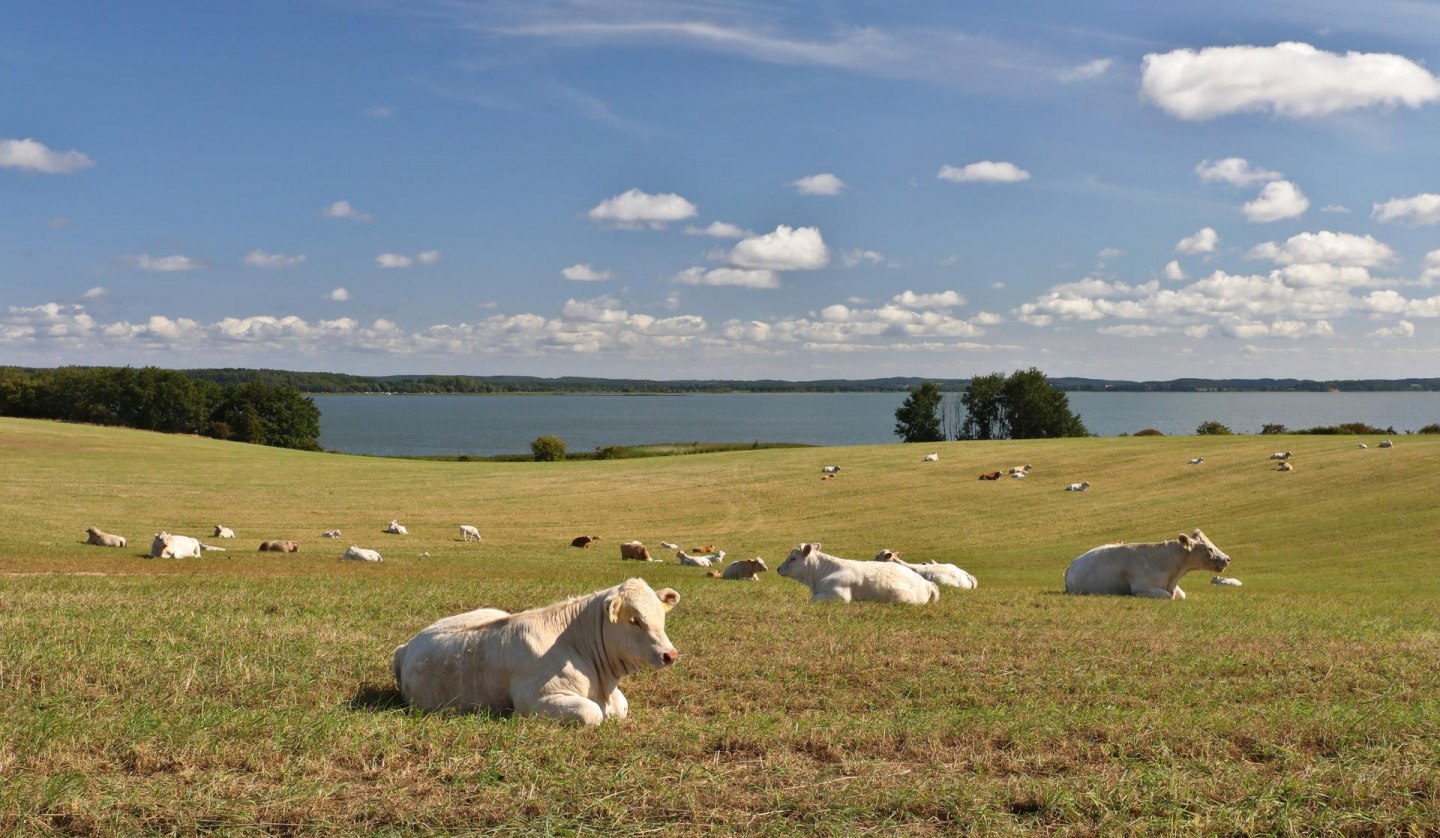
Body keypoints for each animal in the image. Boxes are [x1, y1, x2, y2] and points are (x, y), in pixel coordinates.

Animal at [388, 581, 679, 725]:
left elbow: (621, 707)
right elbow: (592, 713)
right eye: (634, 620)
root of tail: (406, 647)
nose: (670, 655)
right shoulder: (537, 699)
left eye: (660, 615)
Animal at [1065, 529, 1232, 601]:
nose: (1227, 559)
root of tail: (1072, 564)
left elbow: (1182, 595)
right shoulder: (1141, 587)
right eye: (1208, 548)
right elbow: (1168, 596)